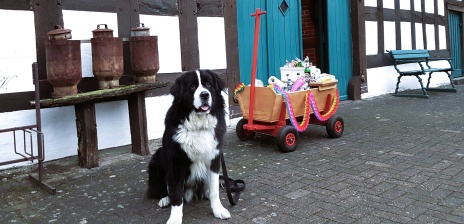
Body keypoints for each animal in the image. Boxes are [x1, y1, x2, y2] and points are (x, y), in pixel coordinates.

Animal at [147, 69, 230, 223]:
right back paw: (165, 199)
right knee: (168, 189)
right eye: (192, 87)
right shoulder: (176, 163)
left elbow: (215, 190)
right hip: (157, 158)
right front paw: (175, 218)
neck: (198, 126)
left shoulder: (214, 159)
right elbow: (176, 194)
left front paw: (218, 210)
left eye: (208, 84)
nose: (205, 95)